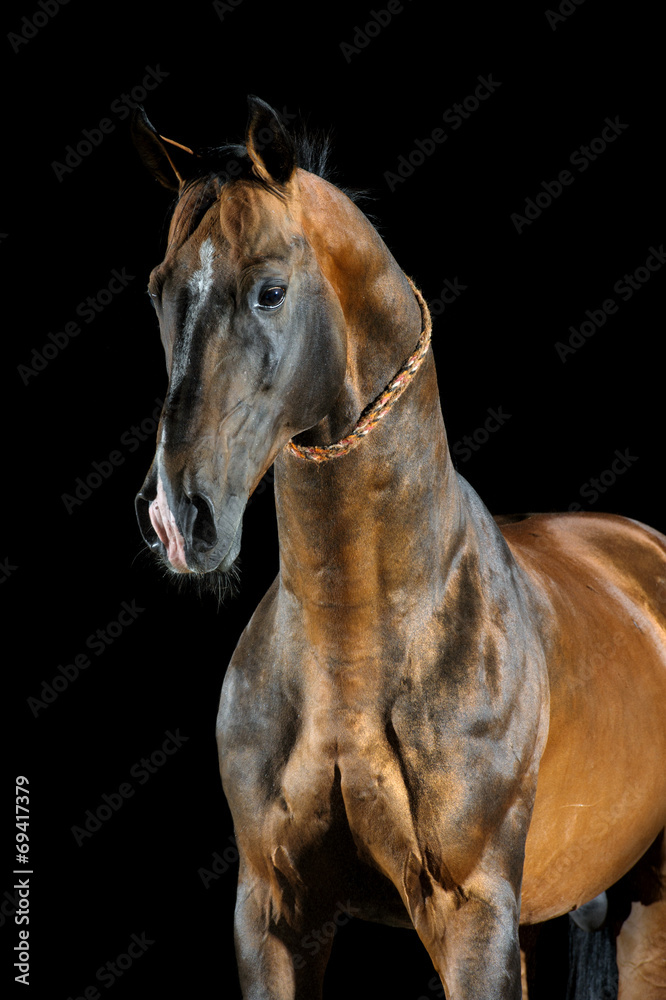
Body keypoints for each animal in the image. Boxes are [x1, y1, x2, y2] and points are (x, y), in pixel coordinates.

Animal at [131, 97, 666, 999]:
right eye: (159, 290)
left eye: (270, 290)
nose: (177, 516)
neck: (360, 645)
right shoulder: (274, 919)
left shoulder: (470, 917)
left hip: (643, 902)